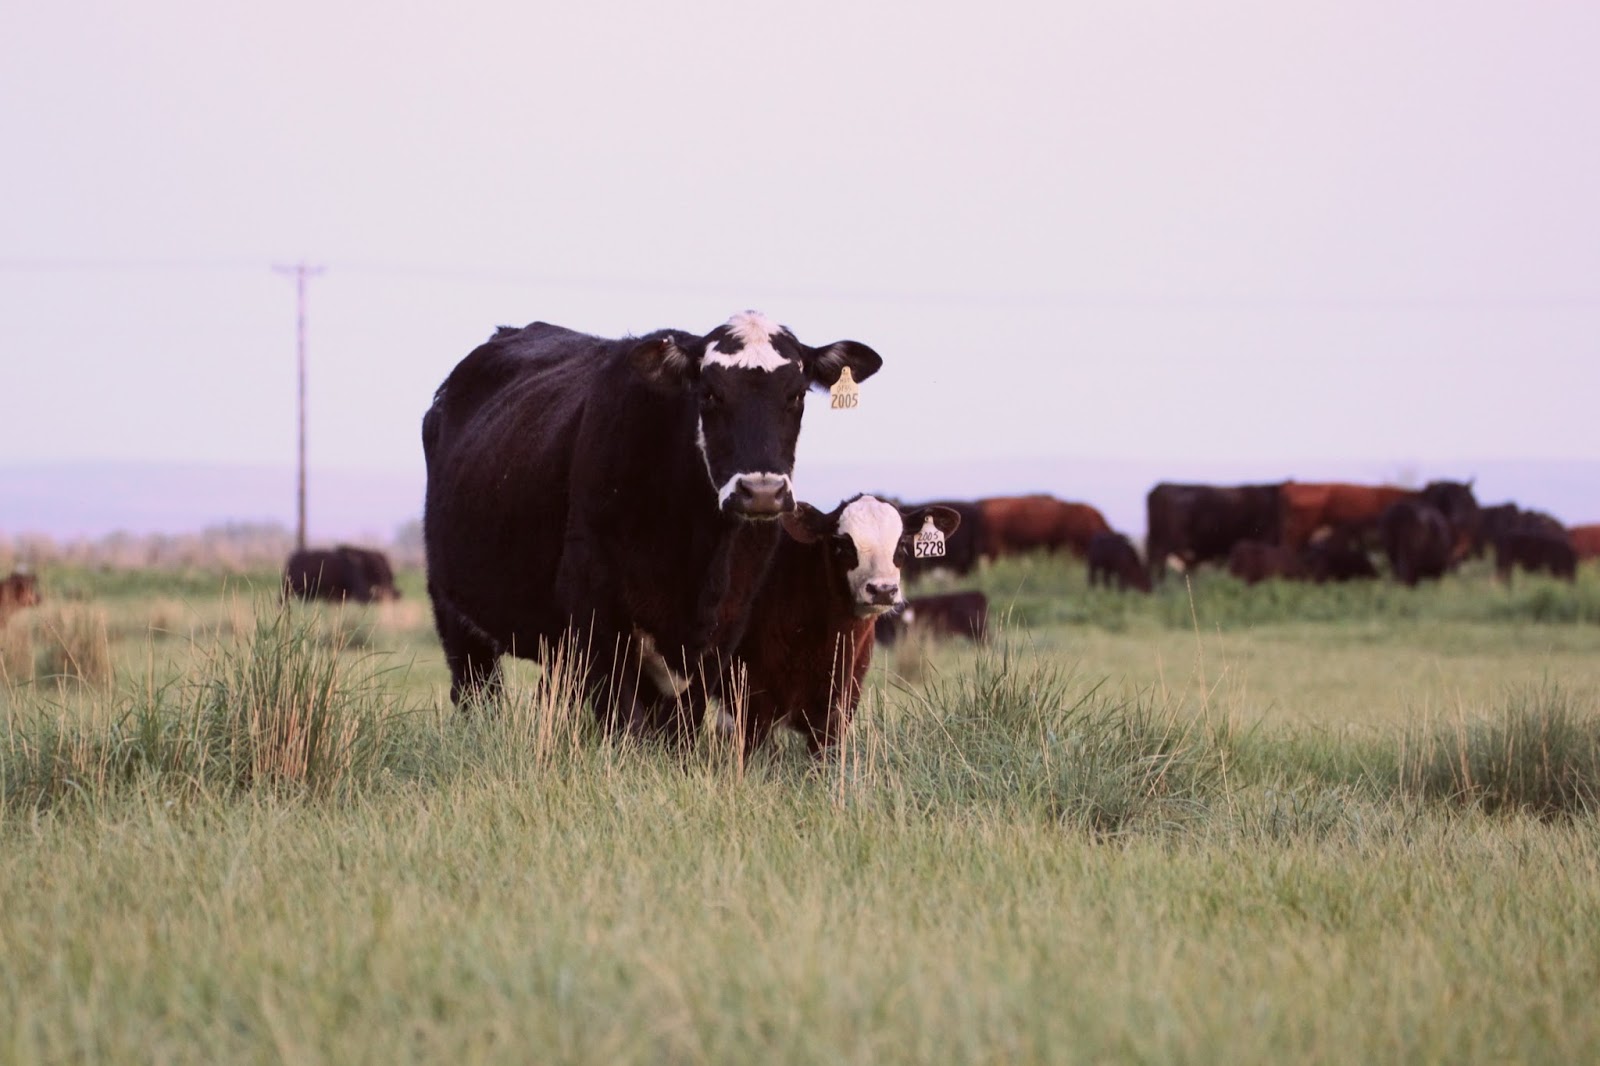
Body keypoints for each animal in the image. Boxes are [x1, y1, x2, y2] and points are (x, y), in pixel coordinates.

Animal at [421, 311, 883, 741]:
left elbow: (681, 727)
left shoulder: (725, 627)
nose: (762, 492)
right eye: (710, 393)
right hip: (455, 612)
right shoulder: (597, 613)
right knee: (476, 692)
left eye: (796, 395)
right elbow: (628, 724)